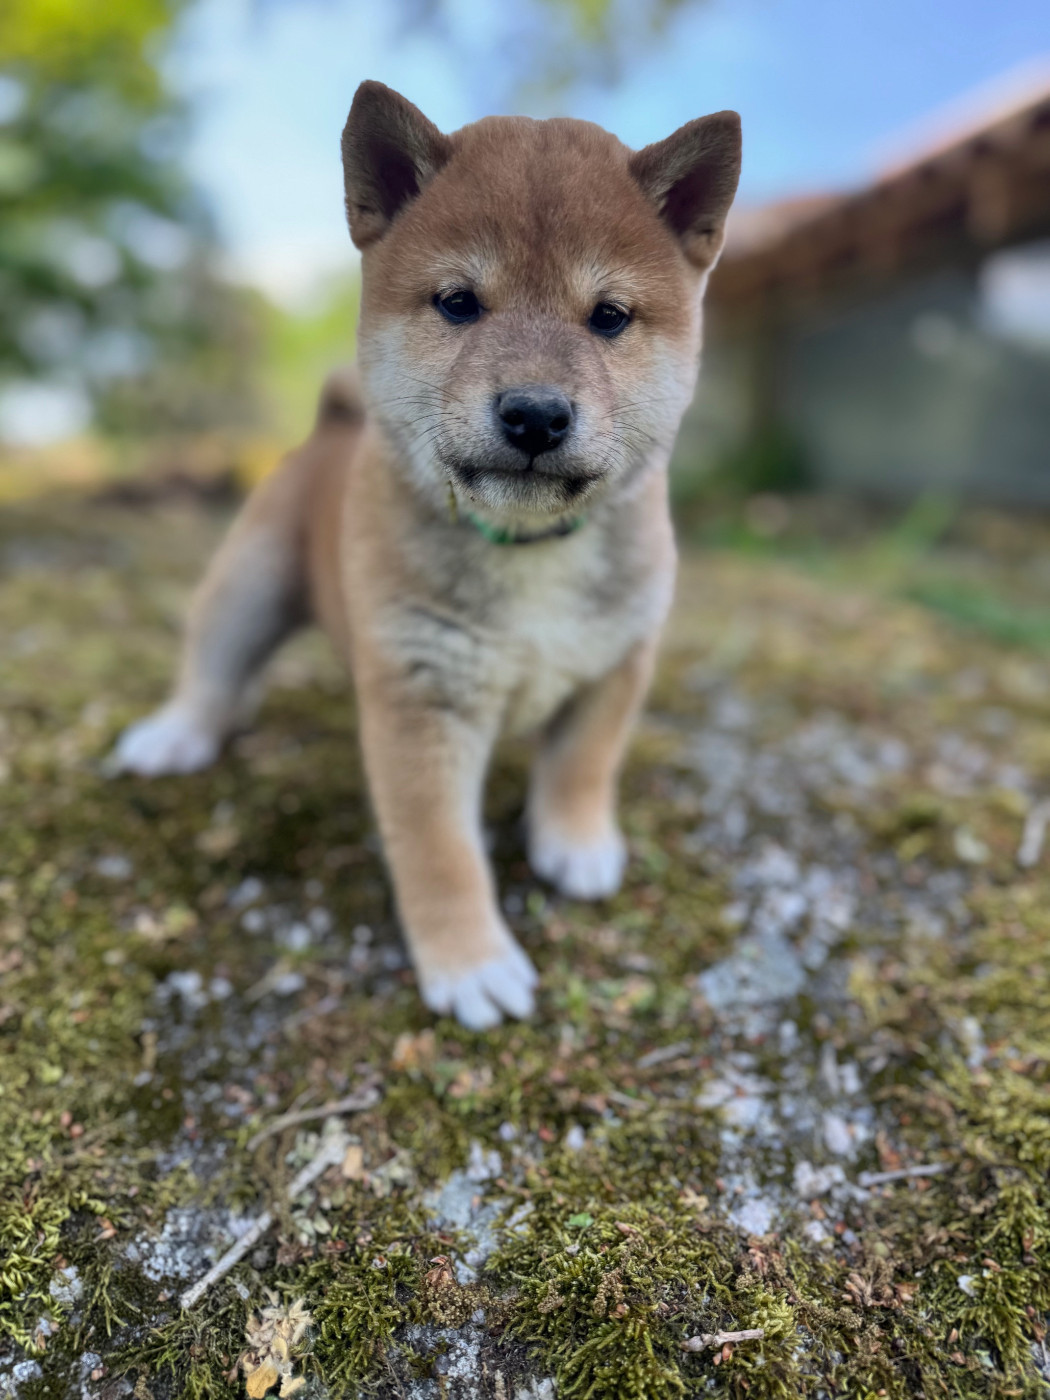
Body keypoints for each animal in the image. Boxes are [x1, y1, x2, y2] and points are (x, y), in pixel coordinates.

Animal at [114, 81, 742, 1029]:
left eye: (609, 317)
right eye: (457, 303)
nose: (534, 414)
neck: (528, 552)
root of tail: (329, 429)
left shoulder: (619, 659)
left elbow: (584, 761)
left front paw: (576, 841)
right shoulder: (420, 700)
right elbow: (439, 850)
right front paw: (470, 961)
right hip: (250, 583)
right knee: (213, 669)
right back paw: (177, 734)